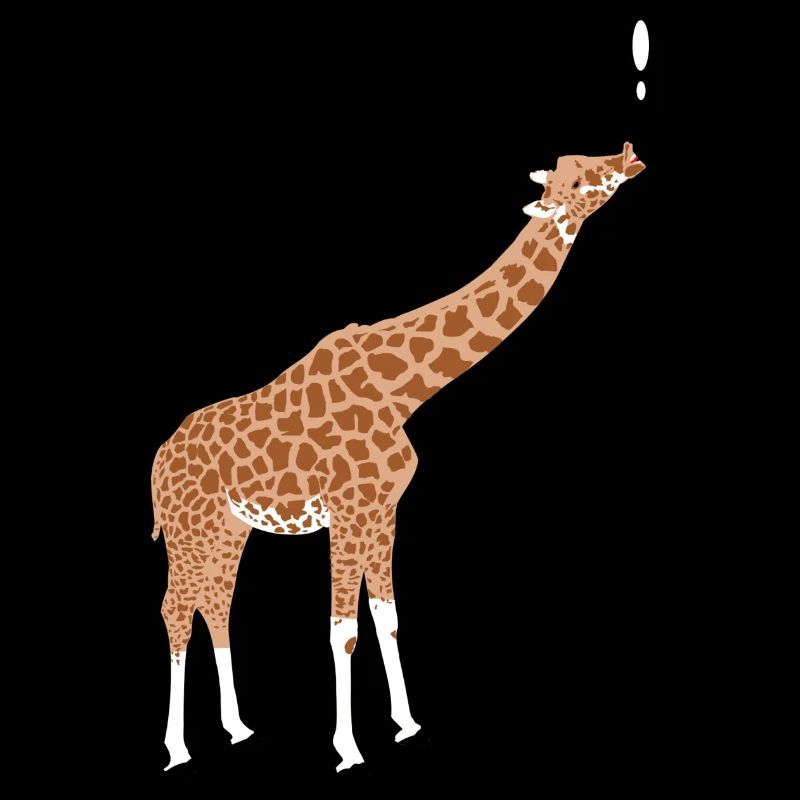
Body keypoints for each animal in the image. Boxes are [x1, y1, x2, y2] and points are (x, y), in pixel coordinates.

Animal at [152, 142, 646, 772]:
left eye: (585, 159)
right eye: (577, 179)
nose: (627, 155)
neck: (402, 390)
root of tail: (158, 458)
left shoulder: (383, 510)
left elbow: (386, 619)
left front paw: (406, 724)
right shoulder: (347, 508)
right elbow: (343, 630)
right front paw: (348, 748)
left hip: (228, 527)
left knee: (215, 604)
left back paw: (237, 728)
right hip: (187, 528)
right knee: (175, 610)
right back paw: (177, 747)